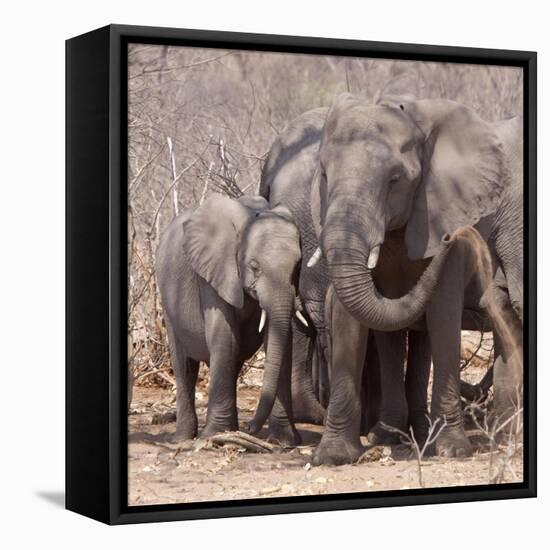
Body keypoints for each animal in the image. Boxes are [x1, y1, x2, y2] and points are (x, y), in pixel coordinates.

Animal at [156, 192, 306, 446]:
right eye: (254, 267)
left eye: (297, 267)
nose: (251, 428)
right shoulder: (213, 273)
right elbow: (225, 337)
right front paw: (215, 436)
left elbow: (280, 341)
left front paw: (284, 442)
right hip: (168, 301)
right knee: (184, 365)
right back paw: (183, 439)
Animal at [308, 94, 520, 466]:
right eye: (323, 173)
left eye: (395, 179)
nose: (454, 237)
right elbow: (349, 320)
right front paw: (332, 456)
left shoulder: (445, 212)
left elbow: (443, 313)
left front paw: (452, 451)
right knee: (396, 336)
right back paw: (391, 436)